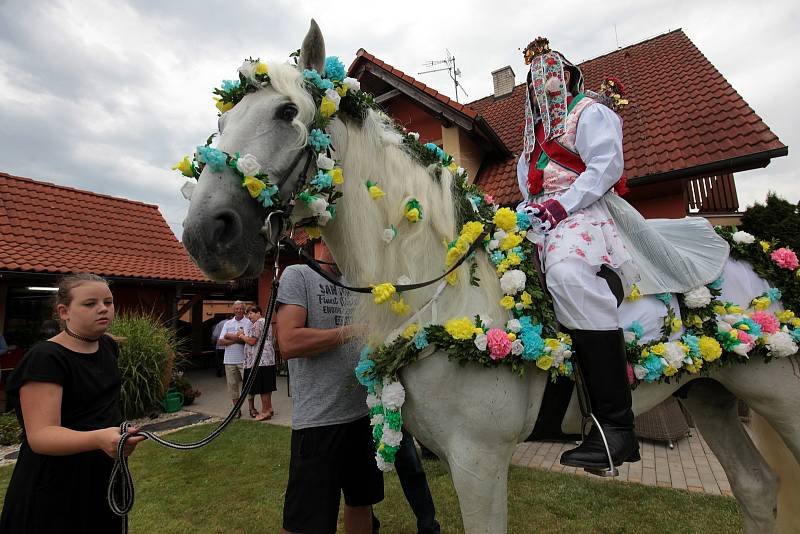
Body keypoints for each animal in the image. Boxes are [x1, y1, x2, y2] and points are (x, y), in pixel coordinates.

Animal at [183, 22, 800, 534]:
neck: (445, 287)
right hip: (709, 391)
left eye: (287, 112)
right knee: (755, 486)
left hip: (776, 389)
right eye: (221, 121)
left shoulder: (478, 460)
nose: (205, 235)